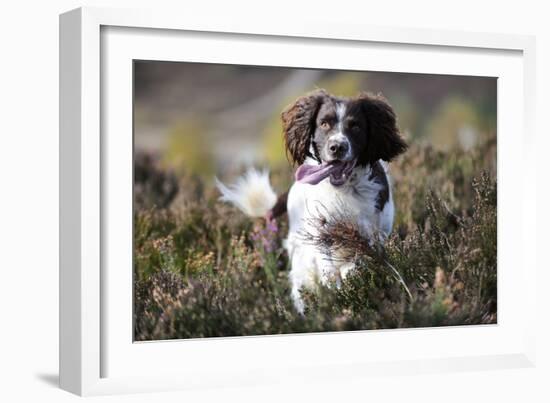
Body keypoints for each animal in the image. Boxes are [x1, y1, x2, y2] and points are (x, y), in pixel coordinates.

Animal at [218, 90, 408, 314]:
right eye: (324, 123)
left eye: (356, 126)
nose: (337, 147)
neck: (343, 189)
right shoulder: (319, 234)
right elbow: (328, 266)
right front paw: (336, 287)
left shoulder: (375, 233)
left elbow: (360, 259)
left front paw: (349, 274)